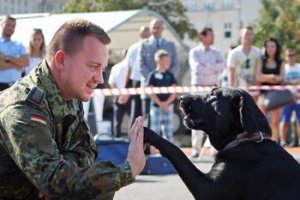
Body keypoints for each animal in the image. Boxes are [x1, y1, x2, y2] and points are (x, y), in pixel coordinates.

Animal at [144, 87, 300, 200]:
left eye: (213, 95)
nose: (181, 97)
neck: (245, 138)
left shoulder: (208, 189)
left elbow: (177, 151)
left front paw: (148, 133)